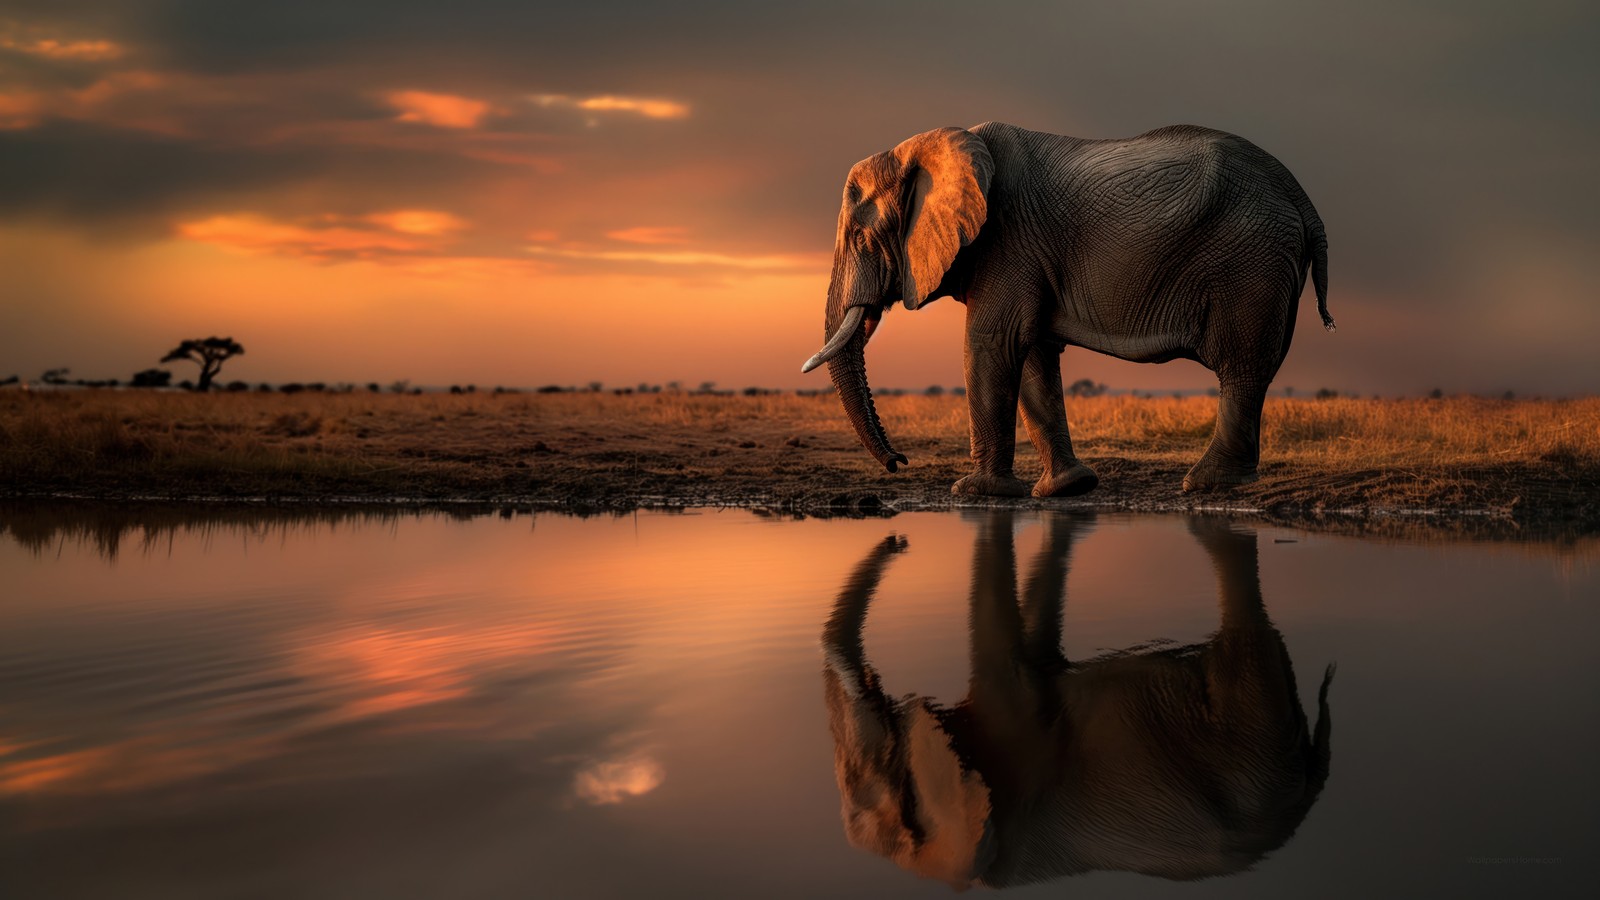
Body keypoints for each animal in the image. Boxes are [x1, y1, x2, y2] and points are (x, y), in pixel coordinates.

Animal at [800, 122, 1337, 493]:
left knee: (1241, 368)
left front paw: (974, 492)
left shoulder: (1007, 242)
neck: (929, 145)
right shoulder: (1025, 254)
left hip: (1250, 261)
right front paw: (1068, 490)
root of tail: (1305, 202)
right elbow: (1034, 354)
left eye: (859, 236)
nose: (900, 462)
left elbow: (991, 345)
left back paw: (1206, 484)